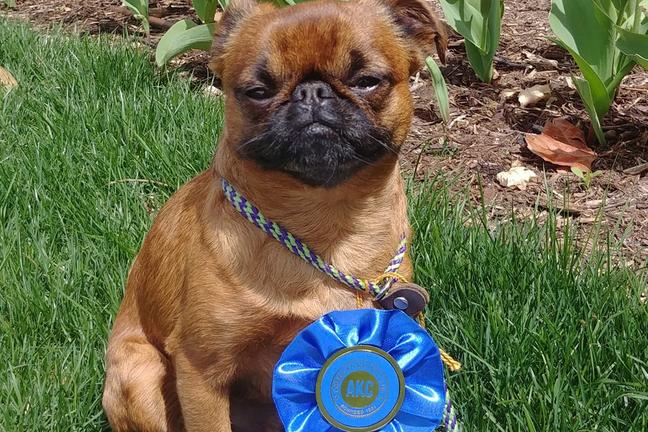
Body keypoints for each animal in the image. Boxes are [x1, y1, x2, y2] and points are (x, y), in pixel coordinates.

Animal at [102, 0, 447, 430]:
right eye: (258, 92)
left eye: (367, 81)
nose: (312, 92)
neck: (325, 224)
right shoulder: (201, 373)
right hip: (141, 374)